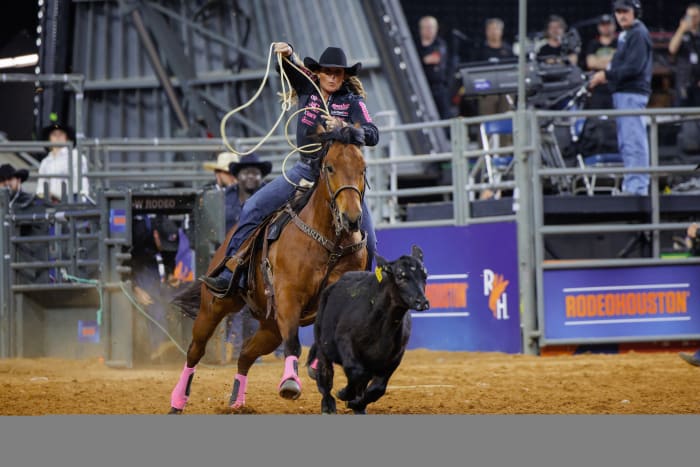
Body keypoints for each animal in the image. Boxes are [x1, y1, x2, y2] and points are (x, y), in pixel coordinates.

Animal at [169, 127, 370, 414]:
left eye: (363, 169)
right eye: (330, 167)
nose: (351, 218)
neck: (330, 243)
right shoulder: (288, 297)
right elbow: (294, 343)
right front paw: (290, 384)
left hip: (270, 328)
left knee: (245, 354)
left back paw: (237, 401)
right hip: (214, 308)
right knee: (195, 350)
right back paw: (177, 401)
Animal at [308, 245, 430, 414]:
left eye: (425, 275)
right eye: (400, 276)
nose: (422, 302)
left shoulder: (396, 356)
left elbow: (377, 388)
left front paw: (356, 403)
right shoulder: (345, 340)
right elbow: (356, 371)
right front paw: (344, 394)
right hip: (322, 345)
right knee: (326, 376)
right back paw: (328, 405)